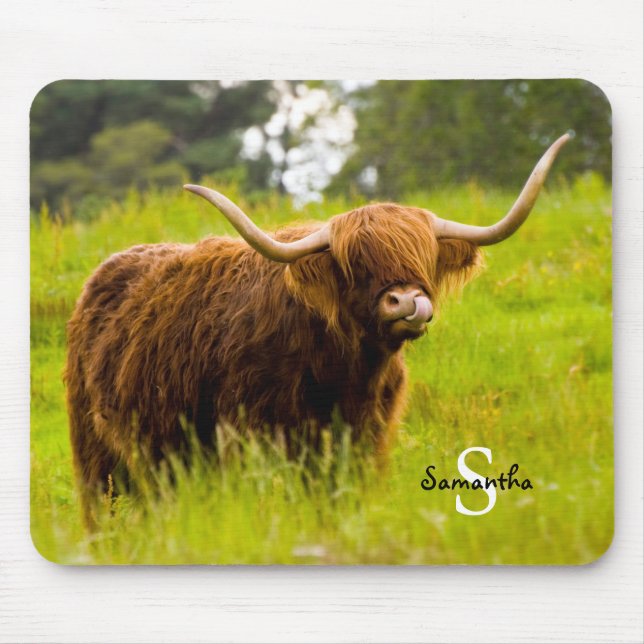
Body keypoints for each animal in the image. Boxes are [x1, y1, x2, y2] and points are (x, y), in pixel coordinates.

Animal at [65, 134, 570, 525]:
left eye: (423, 256)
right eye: (355, 263)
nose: (408, 301)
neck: (343, 368)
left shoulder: (365, 438)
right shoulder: (251, 436)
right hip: (97, 456)